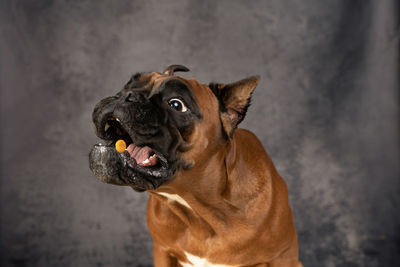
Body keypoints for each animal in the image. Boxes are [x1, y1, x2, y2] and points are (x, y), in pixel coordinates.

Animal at [89, 65, 302, 267]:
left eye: (176, 104)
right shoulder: (162, 251)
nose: (128, 95)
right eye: (128, 85)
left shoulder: (284, 258)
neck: (200, 211)